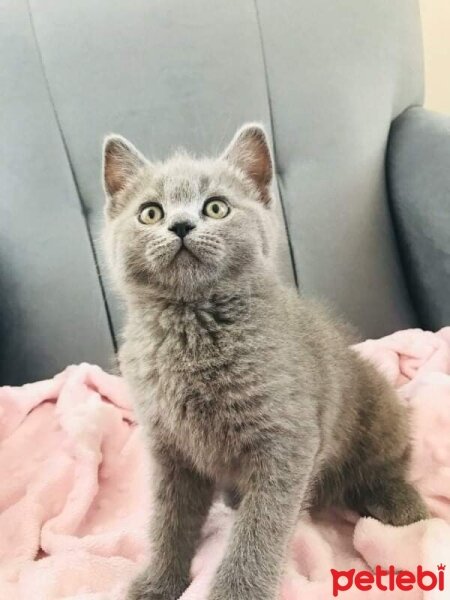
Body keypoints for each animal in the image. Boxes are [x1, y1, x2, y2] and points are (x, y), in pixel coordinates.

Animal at [101, 123, 426, 600]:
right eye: (150, 213)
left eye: (216, 207)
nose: (180, 225)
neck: (193, 325)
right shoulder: (169, 446)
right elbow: (169, 520)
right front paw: (158, 582)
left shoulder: (286, 440)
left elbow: (261, 528)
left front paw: (236, 591)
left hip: (380, 406)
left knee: (387, 462)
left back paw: (399, 504)